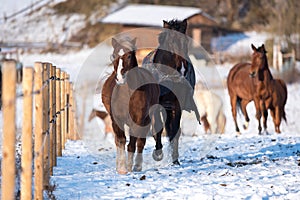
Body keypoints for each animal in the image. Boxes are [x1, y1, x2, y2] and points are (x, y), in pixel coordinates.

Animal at [102, 37, 161, 173]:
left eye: (129, 56)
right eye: (114, 55)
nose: (120, 78)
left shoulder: (138, 120)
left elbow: (132, 144)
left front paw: (129, 166)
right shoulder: (116, 120)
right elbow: (121, 141)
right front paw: (122, 167)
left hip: (146, 120)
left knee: (140, 142)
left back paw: (137, 166)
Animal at [142, 18, 200, 165]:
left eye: (185, 41)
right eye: (172, 42)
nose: (184, 68)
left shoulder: (176, 105)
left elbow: (174, 131)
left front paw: (175, 159)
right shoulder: (156, 106)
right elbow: (158, 127)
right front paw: (158, 154)